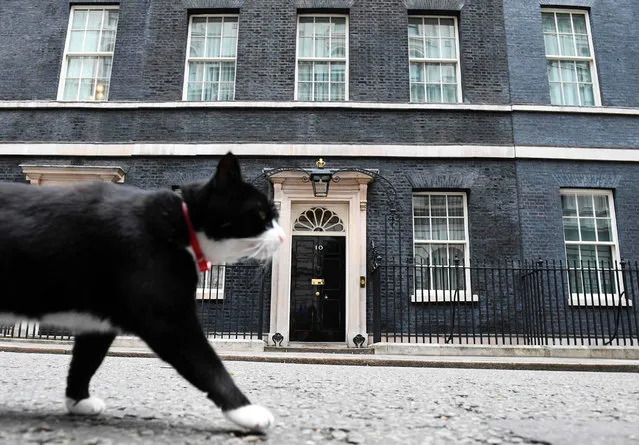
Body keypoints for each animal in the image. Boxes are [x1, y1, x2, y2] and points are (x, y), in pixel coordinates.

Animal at [0, 153, 284, 430]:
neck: (182, 224)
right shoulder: (166, 317)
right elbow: (207, 364)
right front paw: (246, 410)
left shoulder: (99, 322)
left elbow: (86, 360)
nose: (282, 238)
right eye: (260, 215)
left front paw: (78, 400)